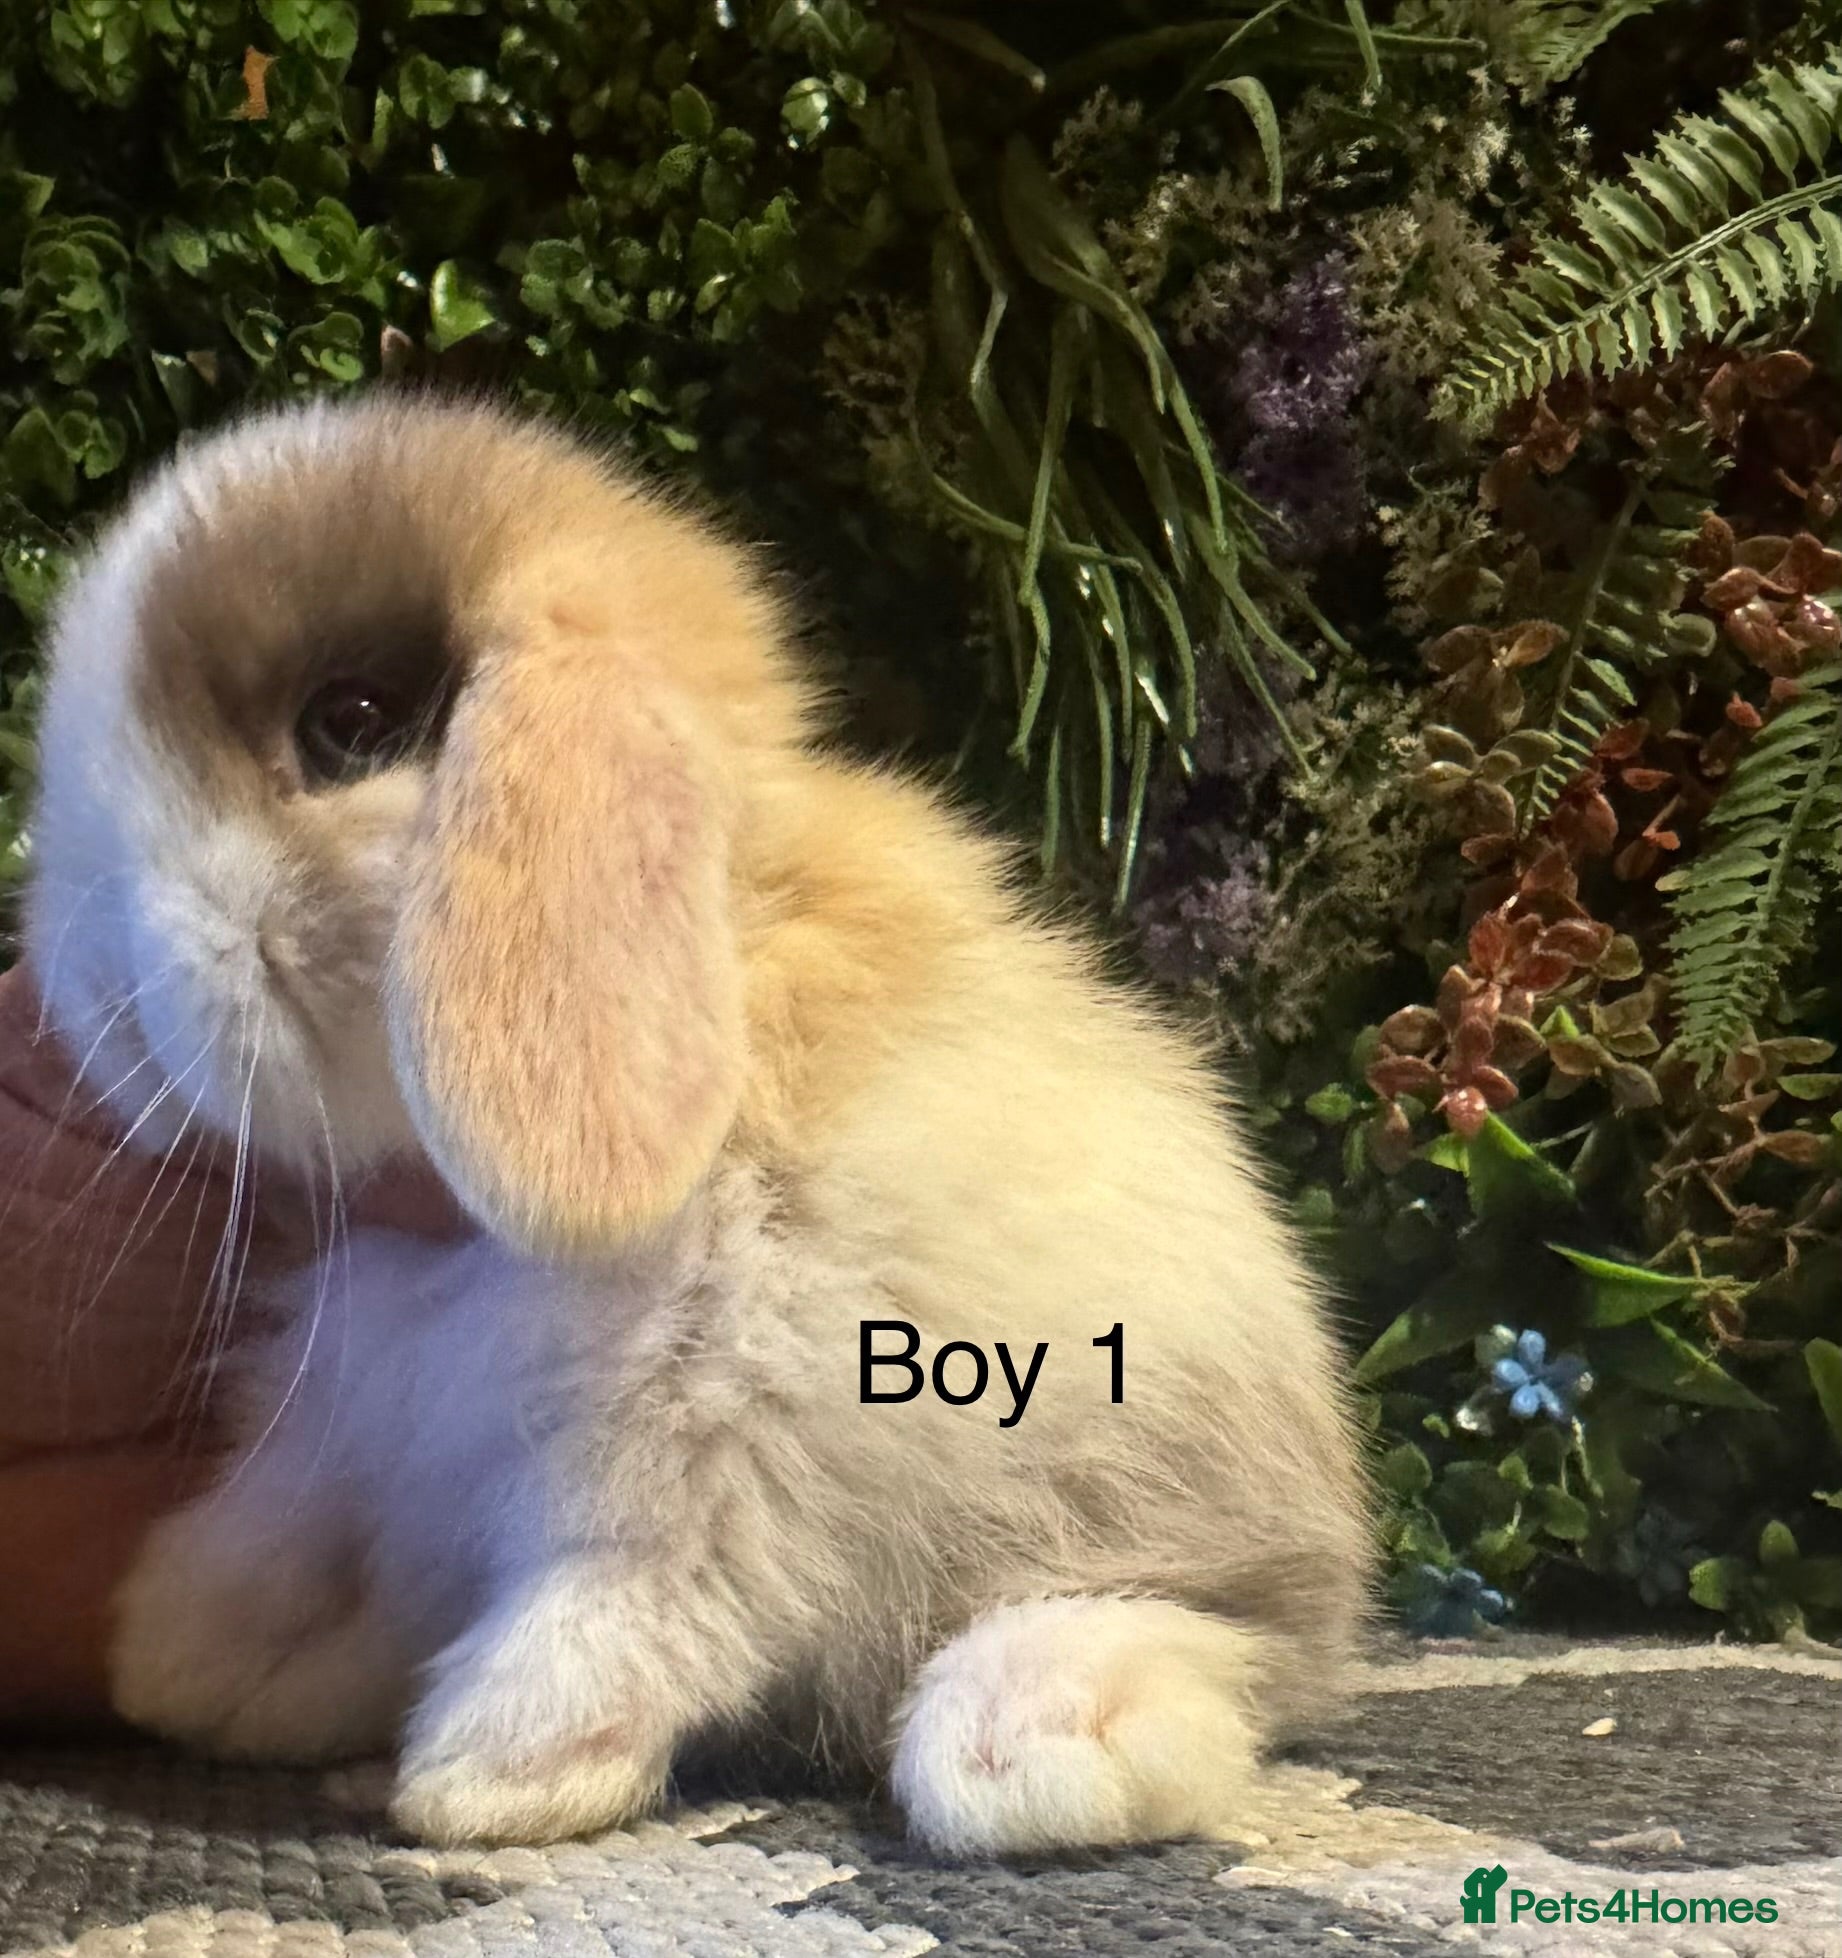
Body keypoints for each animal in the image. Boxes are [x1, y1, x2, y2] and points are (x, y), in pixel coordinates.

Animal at [23, 394, 1371, 1854]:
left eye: (352, 720)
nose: (84, 992)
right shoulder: (359, 1420)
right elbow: (291, 1531)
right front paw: (186, 1650)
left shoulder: (703, 1448)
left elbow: (624, 1604)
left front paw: (489, 1773)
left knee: (1209, 1641)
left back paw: (1030, 1738)